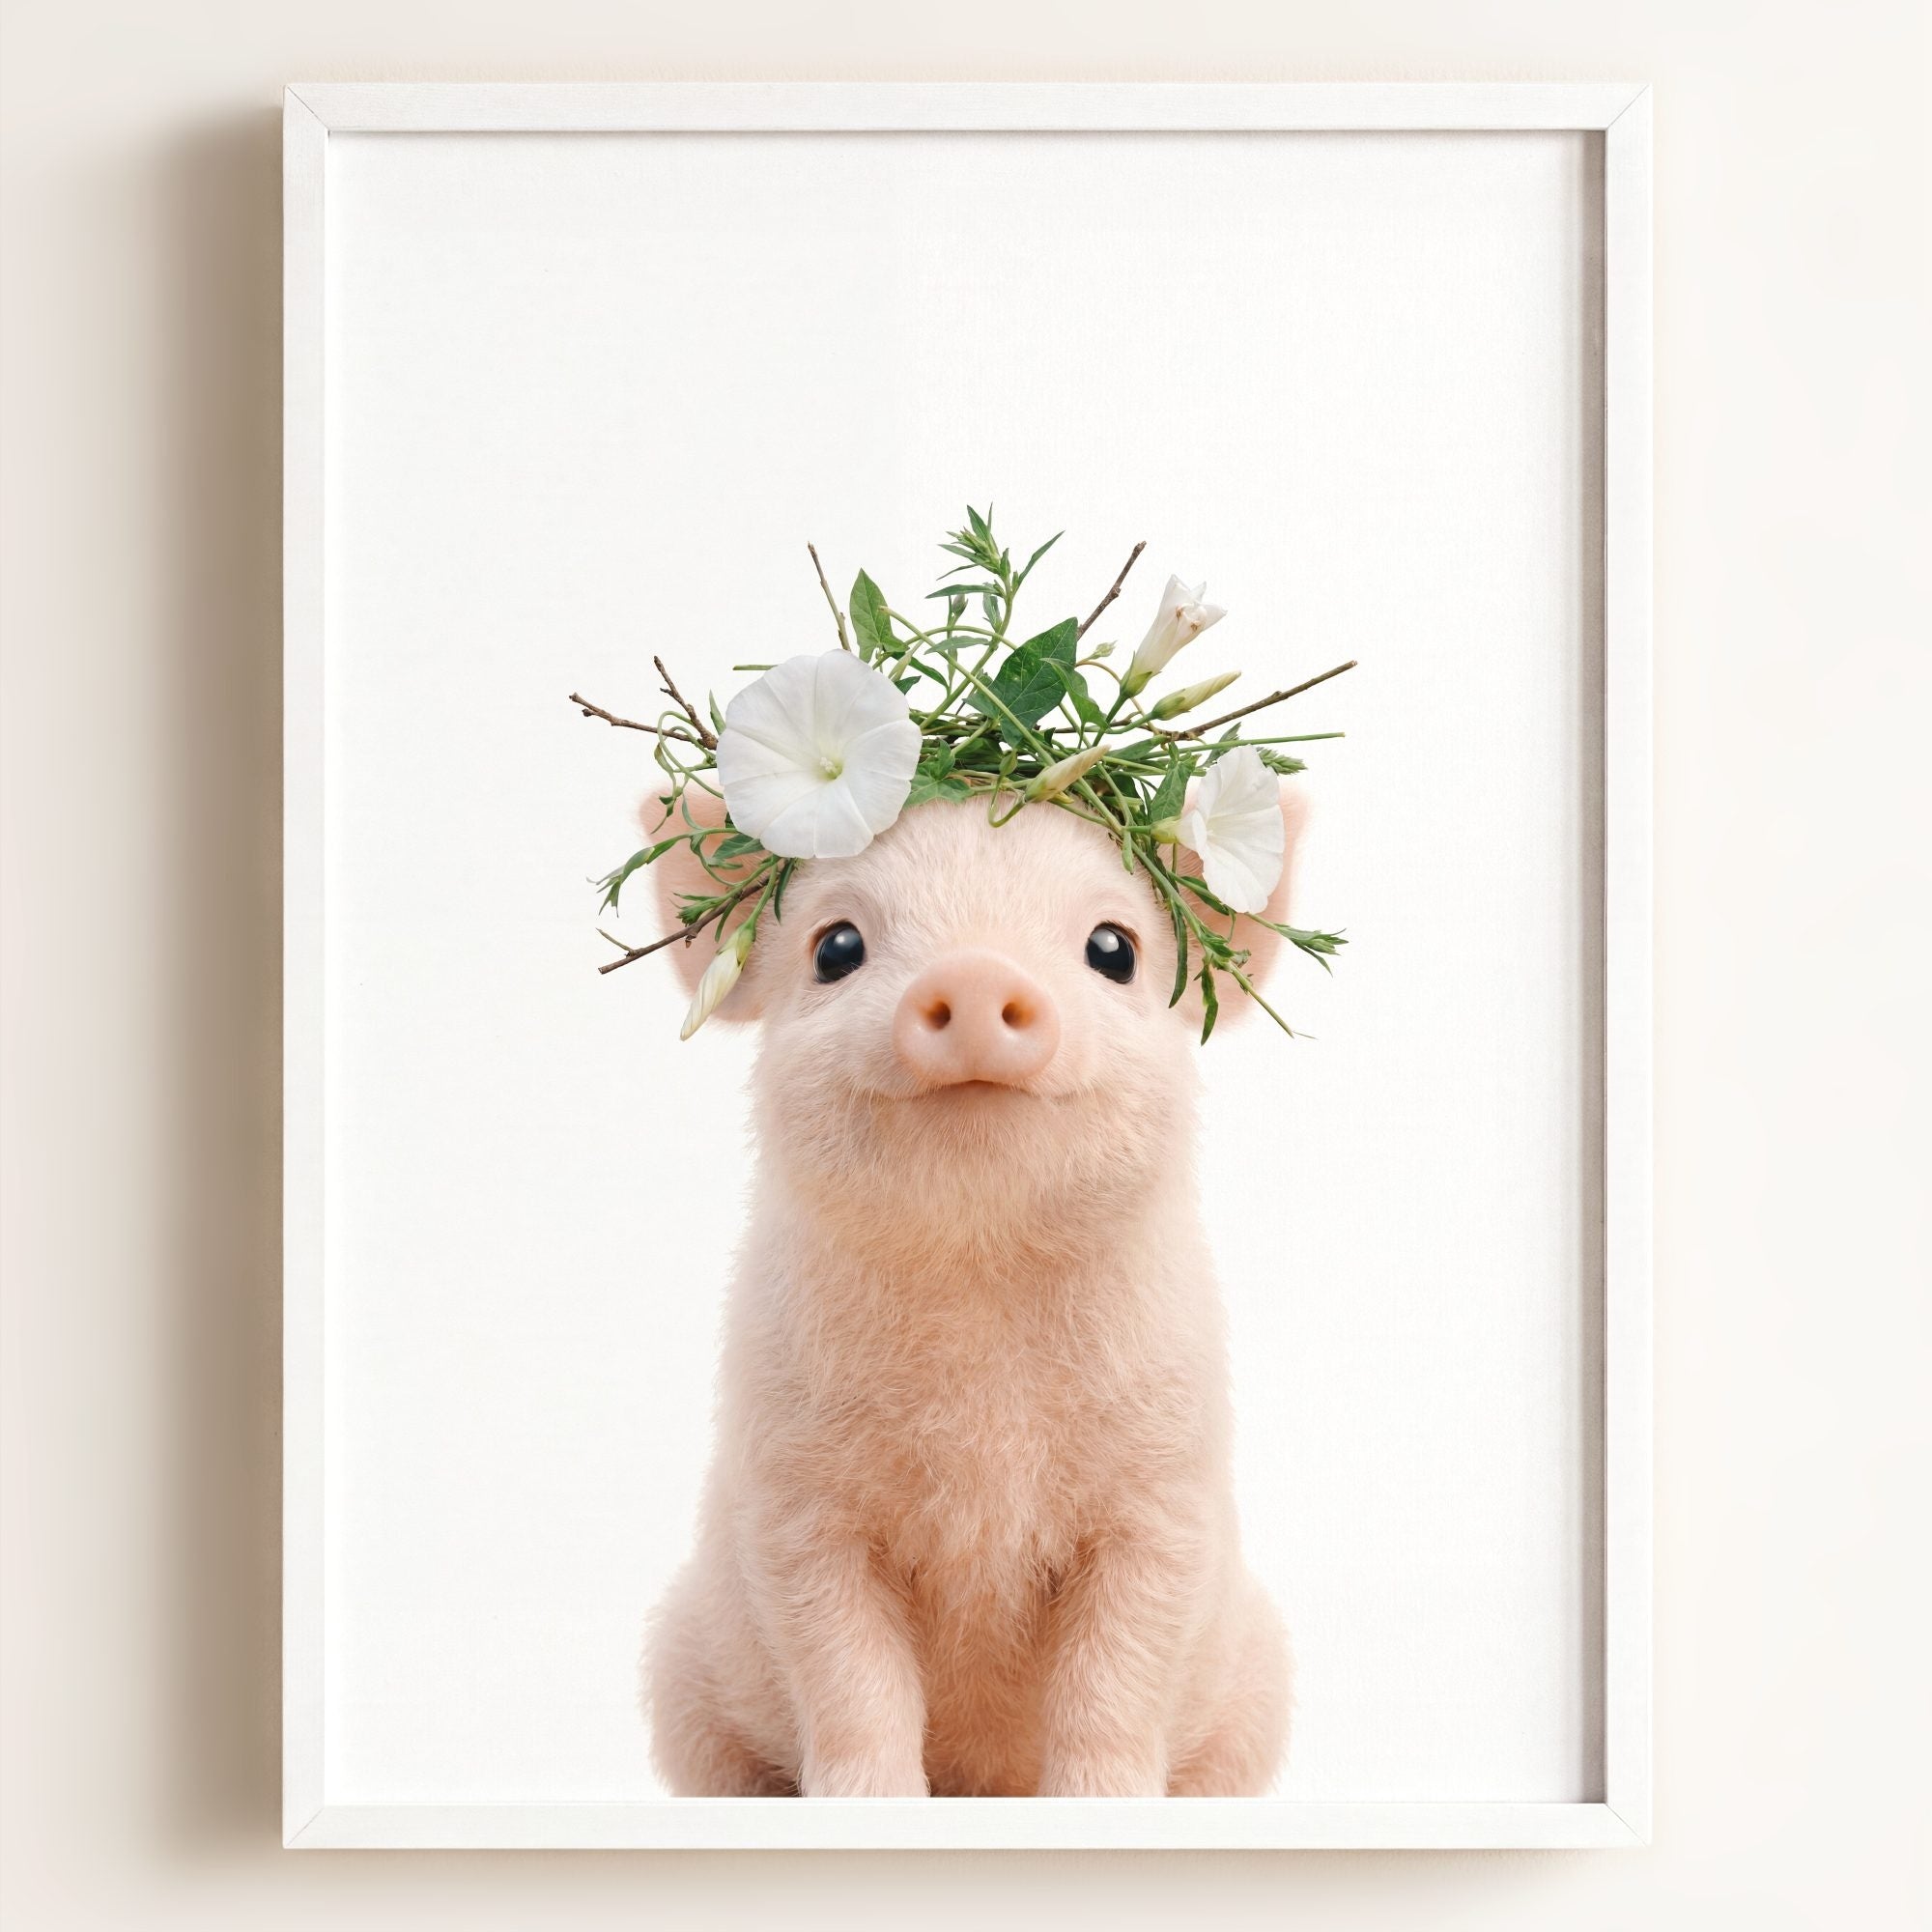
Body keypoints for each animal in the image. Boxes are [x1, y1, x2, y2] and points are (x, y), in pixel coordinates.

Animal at [642, 784, 1307, 1797]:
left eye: (1114, 948)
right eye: (836, 947)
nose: (978, 973)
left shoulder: (1165, 1492)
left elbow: (1118, 1677)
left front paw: (1105, 1803)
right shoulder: (793, 1500)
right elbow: (847, 1675)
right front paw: (867, 1802)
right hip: (679, 1673)